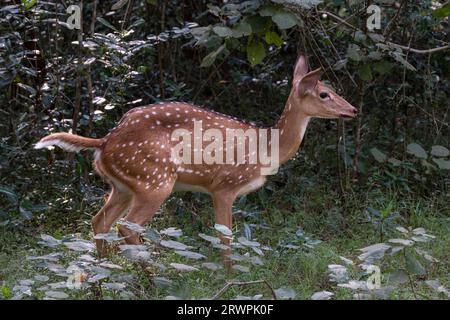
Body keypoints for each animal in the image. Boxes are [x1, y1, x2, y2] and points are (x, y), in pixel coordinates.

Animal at [35, 55, 356, 260]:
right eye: (324, 93)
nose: (352, 110)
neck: (266, 148)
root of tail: (105, 141)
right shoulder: (224, 184)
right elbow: (225, 238)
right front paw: (230, 278)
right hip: (155, 182)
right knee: (125, 226)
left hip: (122, 186)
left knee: (99, 221)